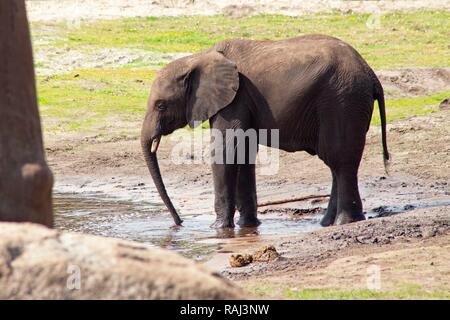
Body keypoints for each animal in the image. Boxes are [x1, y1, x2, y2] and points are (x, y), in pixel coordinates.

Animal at [142, 35, 390, 229]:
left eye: (161, 106)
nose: (179, 223)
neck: (198, 58)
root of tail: (371, 74)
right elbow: (243, 153)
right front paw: (247, 227)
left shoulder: (235, 100)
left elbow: (226, 153)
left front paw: (219, 229)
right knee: (336, 164)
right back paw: (327, 223)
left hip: (343, 100)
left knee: (340, 160)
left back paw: (345, 222)